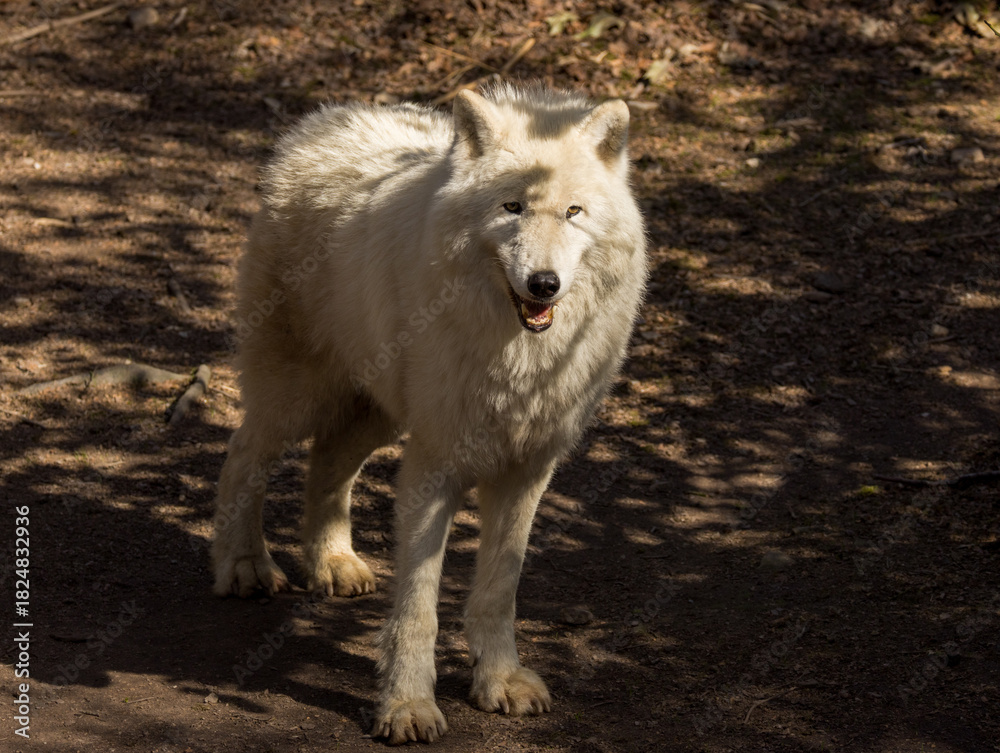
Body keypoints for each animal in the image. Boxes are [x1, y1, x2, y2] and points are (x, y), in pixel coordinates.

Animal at [212, 84, 647, 744]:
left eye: (573, 212)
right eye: (512, 207)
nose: (543, 284)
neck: (515, 354)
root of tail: (326, 119)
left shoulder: (527, 469)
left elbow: (498, 589)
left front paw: (499, 681)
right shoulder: (434, 464)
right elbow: (418, 604)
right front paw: (407, 705)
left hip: (377, 411)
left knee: (327, 463)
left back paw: (332, 562)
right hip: (297, 395)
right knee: (243, 455)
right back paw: (242, 566)